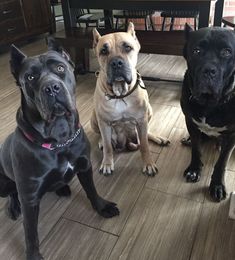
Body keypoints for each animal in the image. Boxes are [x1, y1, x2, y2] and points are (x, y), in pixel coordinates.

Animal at [0, 39, 118, 260]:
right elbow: (31, 232)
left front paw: (102, 207)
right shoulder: (29, 197)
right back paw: (13, 207)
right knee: (12, 193)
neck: (59, 140)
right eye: (30, 77)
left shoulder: (85, 166)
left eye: (60, 68)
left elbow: (91, 190)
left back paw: (62, 187)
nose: (52, 88)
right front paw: (33, 255)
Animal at [90, 22, 169, 177]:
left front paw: (148, 164)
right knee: (102, 137)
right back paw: (101, 141)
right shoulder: (104, 122)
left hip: (149, 112)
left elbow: (144, 145)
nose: (116, 62)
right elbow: (108, 147)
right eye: (103, 51)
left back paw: (159, 138)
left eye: (127, 47)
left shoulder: (142, 120)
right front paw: (107, 163)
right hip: (94, 117)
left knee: (145, 135)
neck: (120, 94)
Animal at [182, 24, 235, 202]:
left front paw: (217, 185)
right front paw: (194, 169)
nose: (209, 70)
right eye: (196, 51)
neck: (210, 104)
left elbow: (222, 162)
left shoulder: (232, 135)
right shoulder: (190, 123)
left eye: (226, 52)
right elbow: (196, 149)